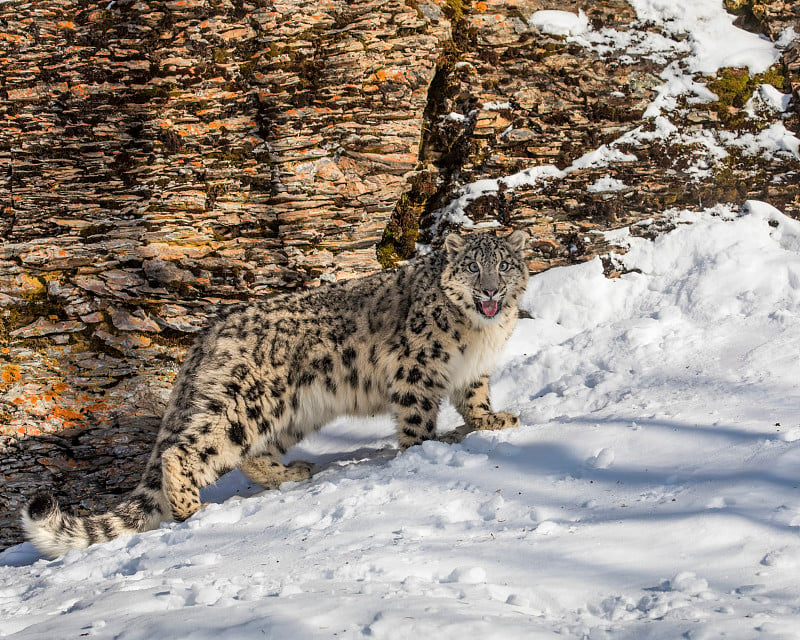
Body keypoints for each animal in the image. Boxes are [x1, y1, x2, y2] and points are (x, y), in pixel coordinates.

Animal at [21, 229, 528, 556]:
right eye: (472, 267)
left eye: (503, 264)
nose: (491, 290)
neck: (478, 334)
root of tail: (207, 336)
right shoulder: (416, 368)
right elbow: (417, 417)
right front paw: (427, 447)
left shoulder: (471, 372)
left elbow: (475, 398)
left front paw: (494, 419)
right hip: (242, 404)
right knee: (185, 451)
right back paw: (190, 509)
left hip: (291, 411)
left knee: (249, 454)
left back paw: (294, 472)